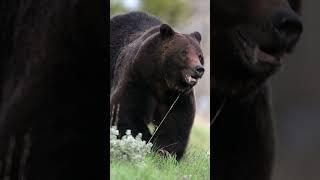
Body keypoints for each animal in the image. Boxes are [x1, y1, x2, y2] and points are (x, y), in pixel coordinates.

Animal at [110, 11, 205, 160]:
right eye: (184, 53)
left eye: (200, 55)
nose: (199, 69)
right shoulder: (138, 78)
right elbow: (126, 110)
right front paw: (145, 141)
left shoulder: (178, 96)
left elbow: (175, 122)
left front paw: (164, 152)